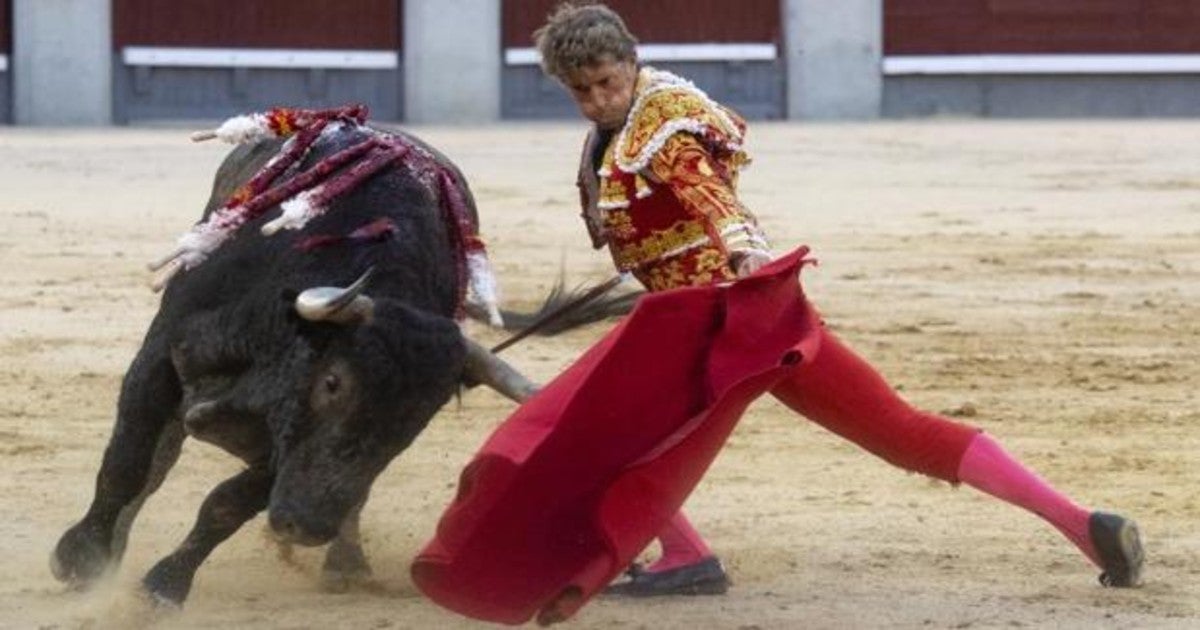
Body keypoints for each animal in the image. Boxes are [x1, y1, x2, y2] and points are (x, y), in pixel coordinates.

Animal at [48, 112, 595, 604]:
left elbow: (227, 504)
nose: (308, 527)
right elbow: (127, 463)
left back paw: (346, 564)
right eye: (332, 382)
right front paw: (81, 558)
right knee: (155, 464)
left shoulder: (282, 444)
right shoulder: (161, 356)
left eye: (420, 417)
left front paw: (165, 584)